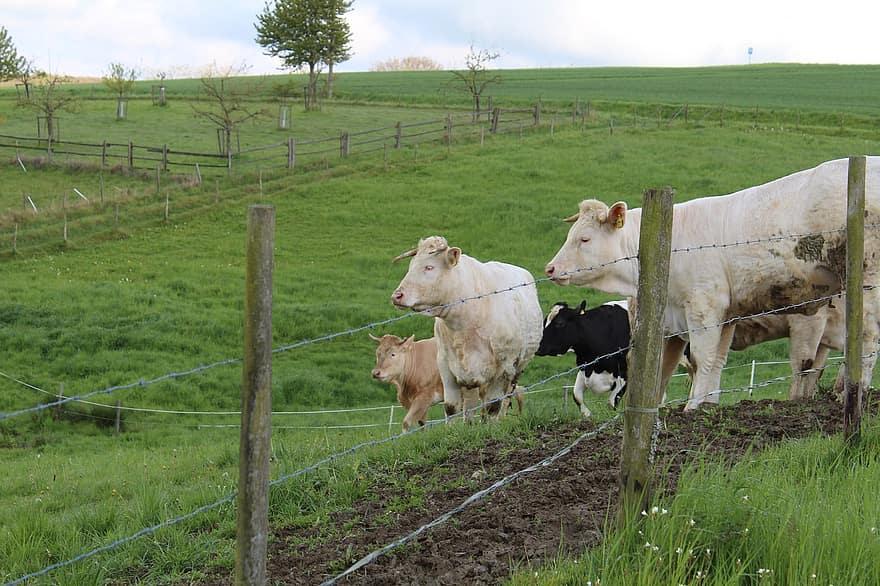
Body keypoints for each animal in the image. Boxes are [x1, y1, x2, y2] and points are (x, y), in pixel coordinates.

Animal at [392, 235, 544, 418]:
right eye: (411, 265)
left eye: (429, 267)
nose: (397, 296)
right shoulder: (445, 365)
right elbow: (451, 408)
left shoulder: (504, 367)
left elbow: (493, 407)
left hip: (517, 369)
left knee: (504, 399)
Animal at [548, 157, 876, 408]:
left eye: (584, 239)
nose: (550, 268)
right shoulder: (716, 316)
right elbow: (707, 363)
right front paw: (704, 406)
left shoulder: (704, 308)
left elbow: (704, 360)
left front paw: (692, 408)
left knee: (866, 342)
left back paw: (852, 393)